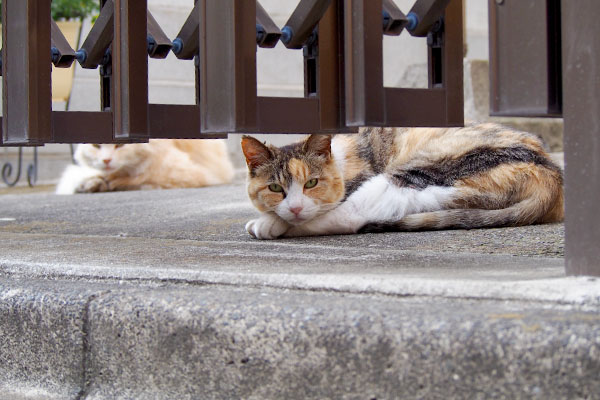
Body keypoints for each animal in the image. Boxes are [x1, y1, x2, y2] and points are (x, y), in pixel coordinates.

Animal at [55, 138, 234, 195]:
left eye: (120, 145)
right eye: (96, 145)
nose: (106, 160)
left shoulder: (183, 172)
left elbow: (138, 180)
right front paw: (90, 184)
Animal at [239, 123, 564, 239]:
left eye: (312, 183)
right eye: (275, 188)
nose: (294, 208)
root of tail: (551, 172)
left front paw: (270, 222)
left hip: (414, 170)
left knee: (353, 217)